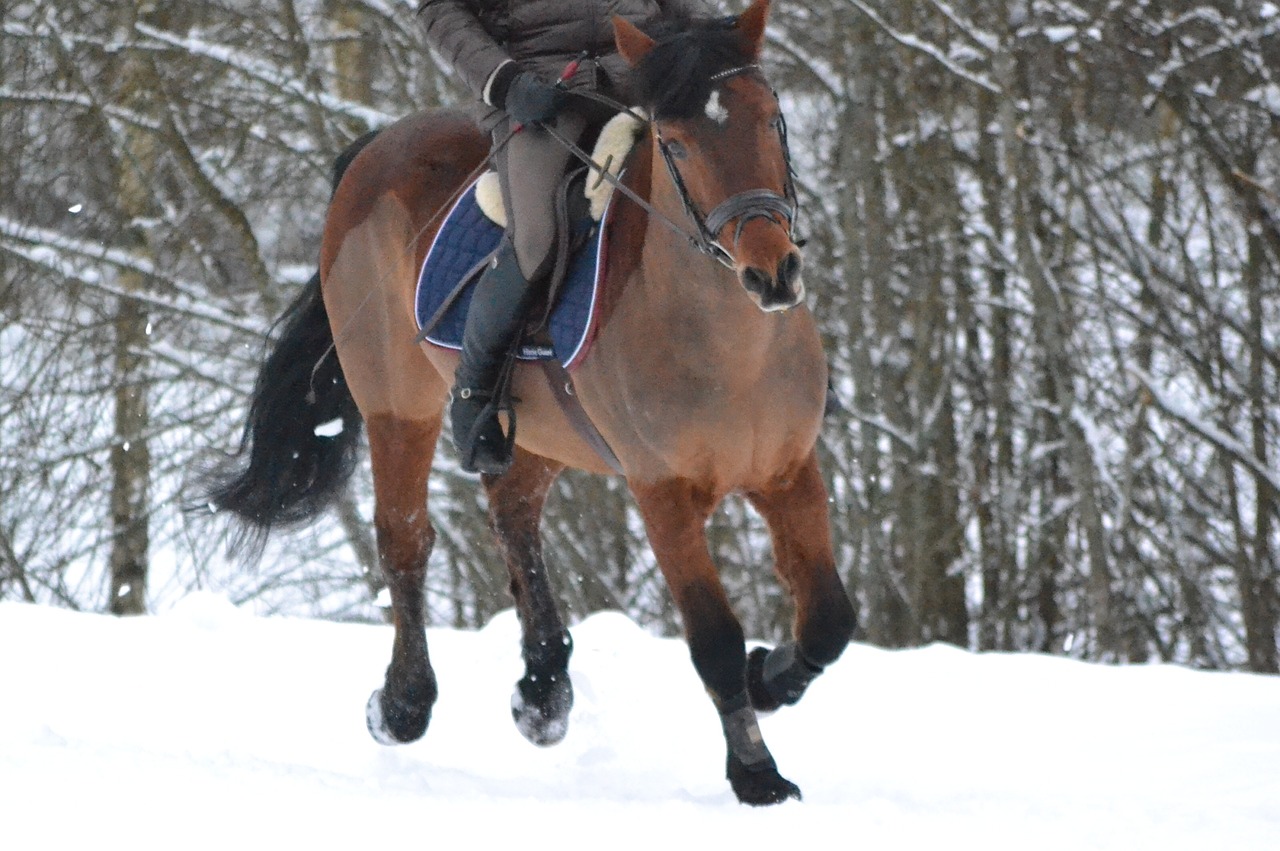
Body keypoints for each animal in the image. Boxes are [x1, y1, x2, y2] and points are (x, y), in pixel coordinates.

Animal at [209, 0, 855, 808]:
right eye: (675, 142)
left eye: (771, 120)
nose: (772, 273)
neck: (733, 346)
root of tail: (373, 149)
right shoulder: (664, 496)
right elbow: (713, 638)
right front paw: (757, 773)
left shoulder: (789, 473)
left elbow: (829, 618)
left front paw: (768, 679)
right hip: (398, 406)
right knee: (405, 539)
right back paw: (404, 704)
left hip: (541, 433)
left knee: (512, 515)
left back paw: (544, 691)